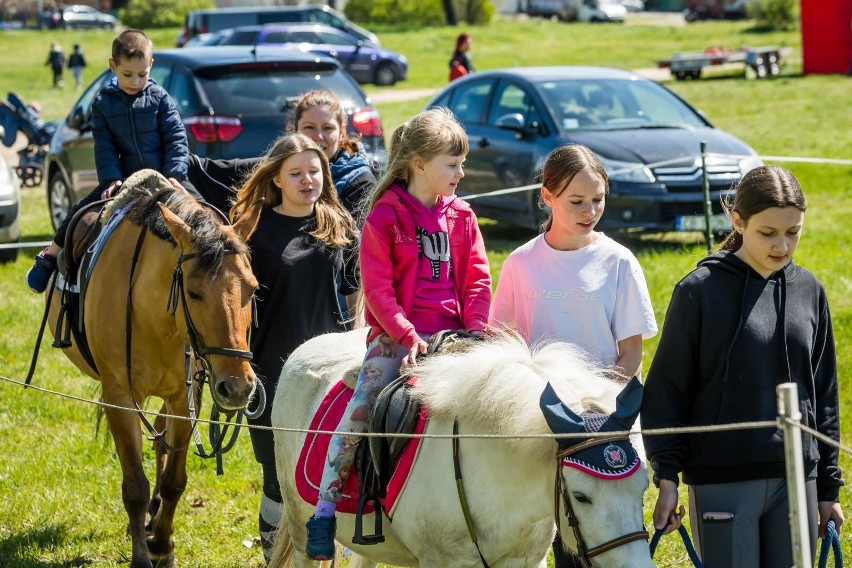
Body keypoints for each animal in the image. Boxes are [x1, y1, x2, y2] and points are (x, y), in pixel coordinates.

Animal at [48, 170, 262, 568]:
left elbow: (174, 480)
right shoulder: (118, 396)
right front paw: (142, 556)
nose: (238, 387)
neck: (152, 313)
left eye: (252, 288)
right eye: (193, 292)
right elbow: (134, 484)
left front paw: (162, 544)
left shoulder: (184, 396)